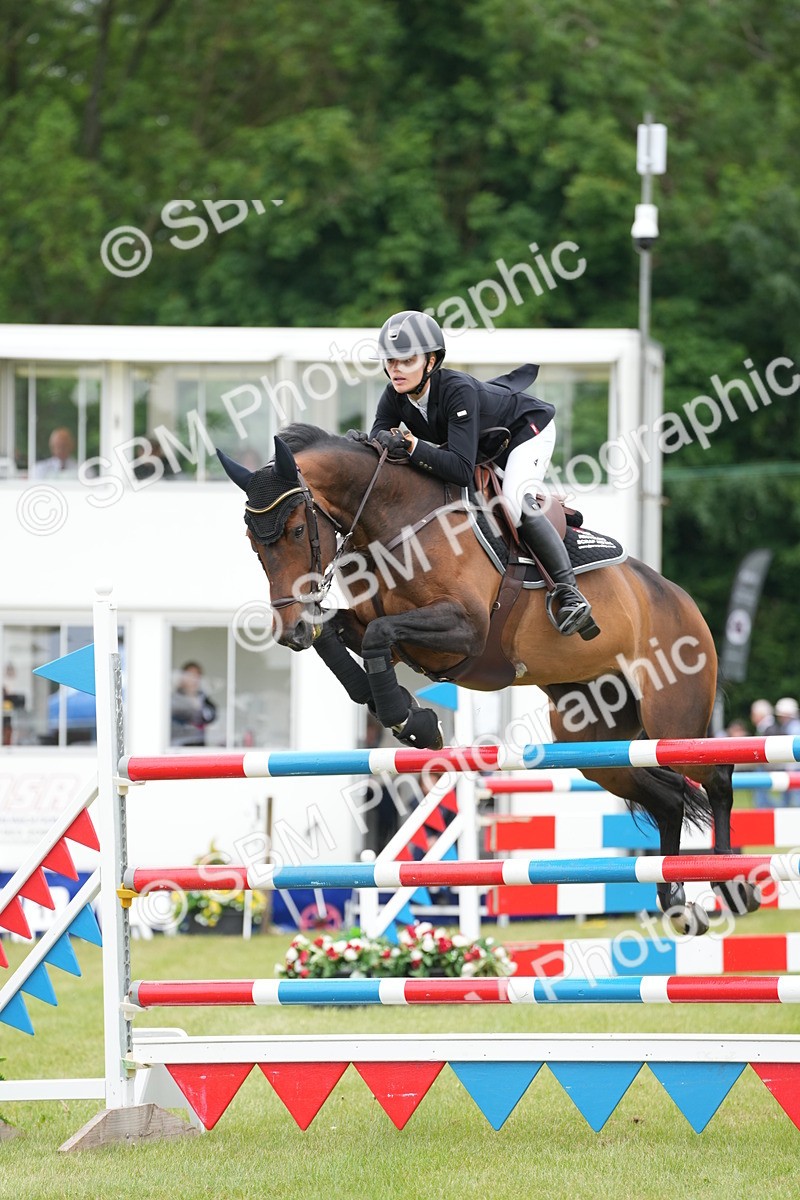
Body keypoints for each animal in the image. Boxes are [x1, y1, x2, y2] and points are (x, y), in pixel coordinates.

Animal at [218, 424, 760, 935]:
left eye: (294, 530)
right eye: (252, 541)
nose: (290, 630)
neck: (395, 522)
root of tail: (683, 601)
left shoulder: (467, 630)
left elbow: (377, 634)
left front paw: (410, 721)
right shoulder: (389, 629)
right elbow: (340, 633)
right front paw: (401, 712)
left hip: (673, 723)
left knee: (717, 777)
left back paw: (733, 887)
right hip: (594, 742)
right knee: (668, 797)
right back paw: (677, 903)